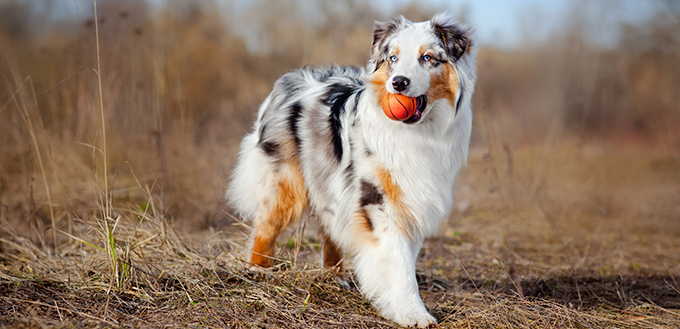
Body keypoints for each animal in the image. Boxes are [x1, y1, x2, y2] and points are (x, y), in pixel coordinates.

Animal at [226, 12, 476, 326]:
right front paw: (413, 314)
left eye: (428, 57)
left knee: (329, 229)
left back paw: (335, 279)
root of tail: (289, 79)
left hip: (329, 183)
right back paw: (257, 270)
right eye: (393, 58)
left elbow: (404, 257)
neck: (417, 132)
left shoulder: (412, 200)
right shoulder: (377, 201)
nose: (398, 83)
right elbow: (399, 263)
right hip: (286, 181)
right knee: (266, 226)